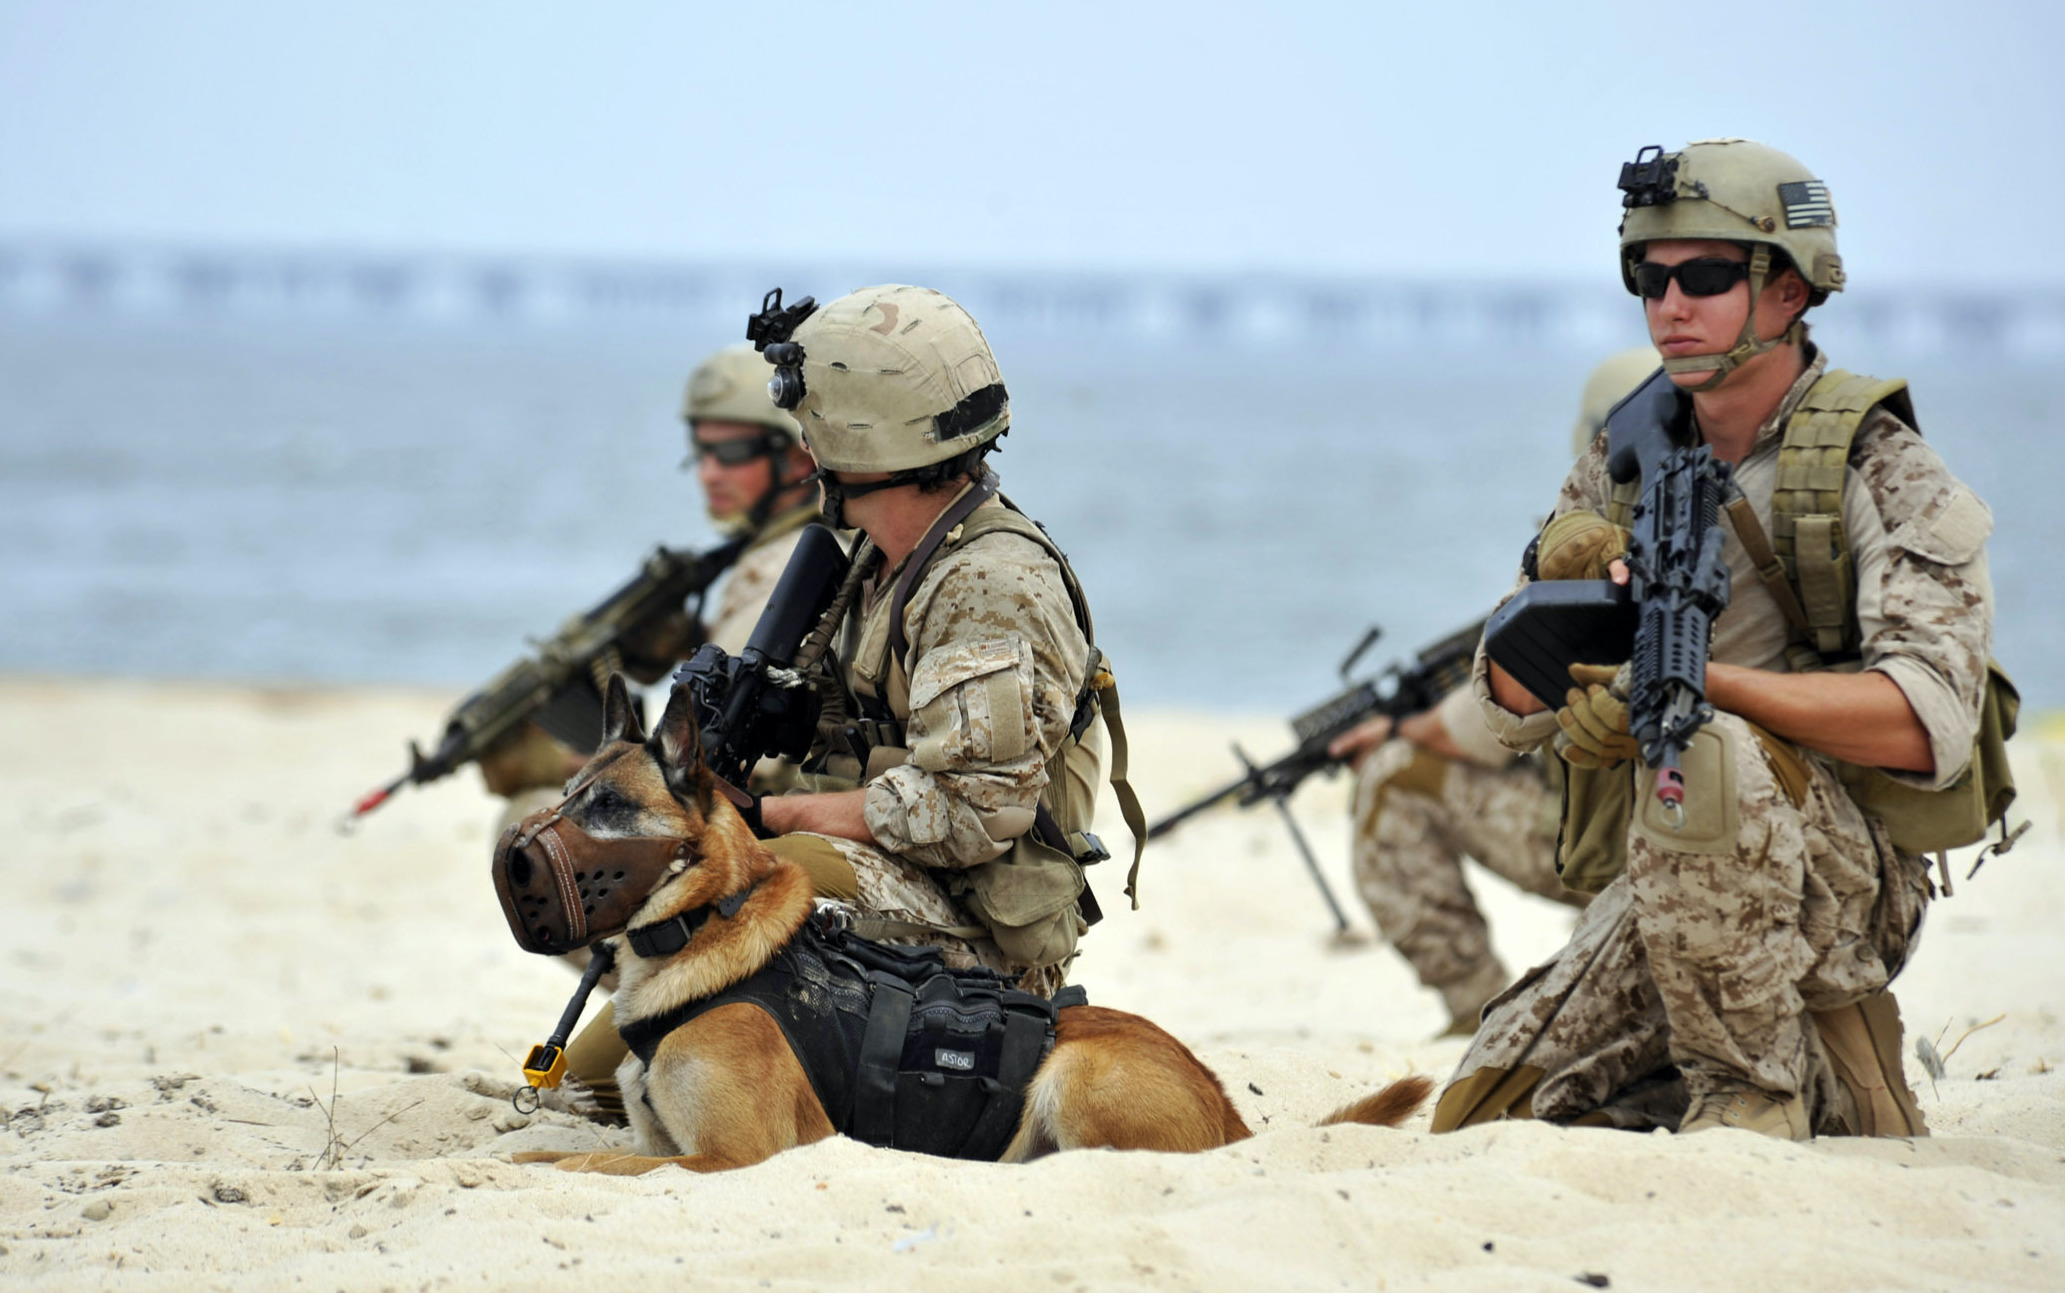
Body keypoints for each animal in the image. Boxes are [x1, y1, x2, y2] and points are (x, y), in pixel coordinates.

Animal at [512, 681, 1437, 1173]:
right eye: (569, 793)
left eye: (606, 805)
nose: (516, 858)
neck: (707, 929)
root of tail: (1227, 1110)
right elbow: (570, 1154)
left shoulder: (734, 1157)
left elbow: (591, 1159)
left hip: (1076, 1072)